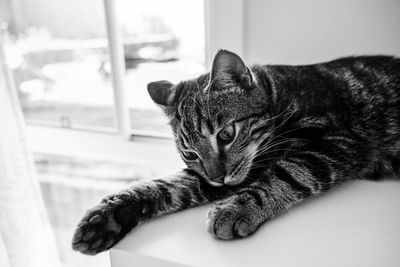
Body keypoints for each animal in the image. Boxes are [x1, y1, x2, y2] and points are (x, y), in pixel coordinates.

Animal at [71, 49, 400, 255]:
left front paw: (237, 208)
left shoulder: (336, 141)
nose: (218, 177)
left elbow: (287, 174)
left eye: (226, 135)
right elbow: (167, 186)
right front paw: (108, 217)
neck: (279, 96)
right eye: (190, 154)